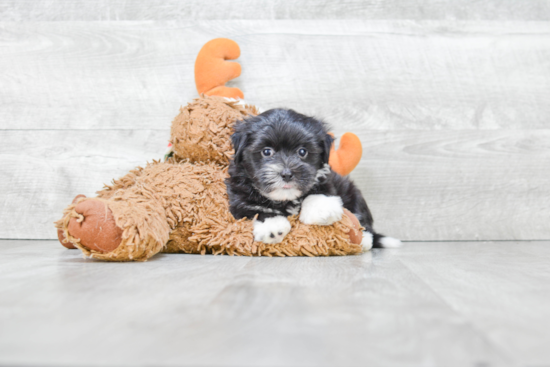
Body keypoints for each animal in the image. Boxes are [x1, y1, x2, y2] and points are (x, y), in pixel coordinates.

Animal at [226, 108, 404, 250]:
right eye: (267, 152)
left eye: (302, 152)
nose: (287, 174)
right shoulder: (239, 197)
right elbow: (256, 209)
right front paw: (271, 226)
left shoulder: (325, 179)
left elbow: (318, 192)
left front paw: (321, 208)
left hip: (352, 190)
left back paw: (364, 239)